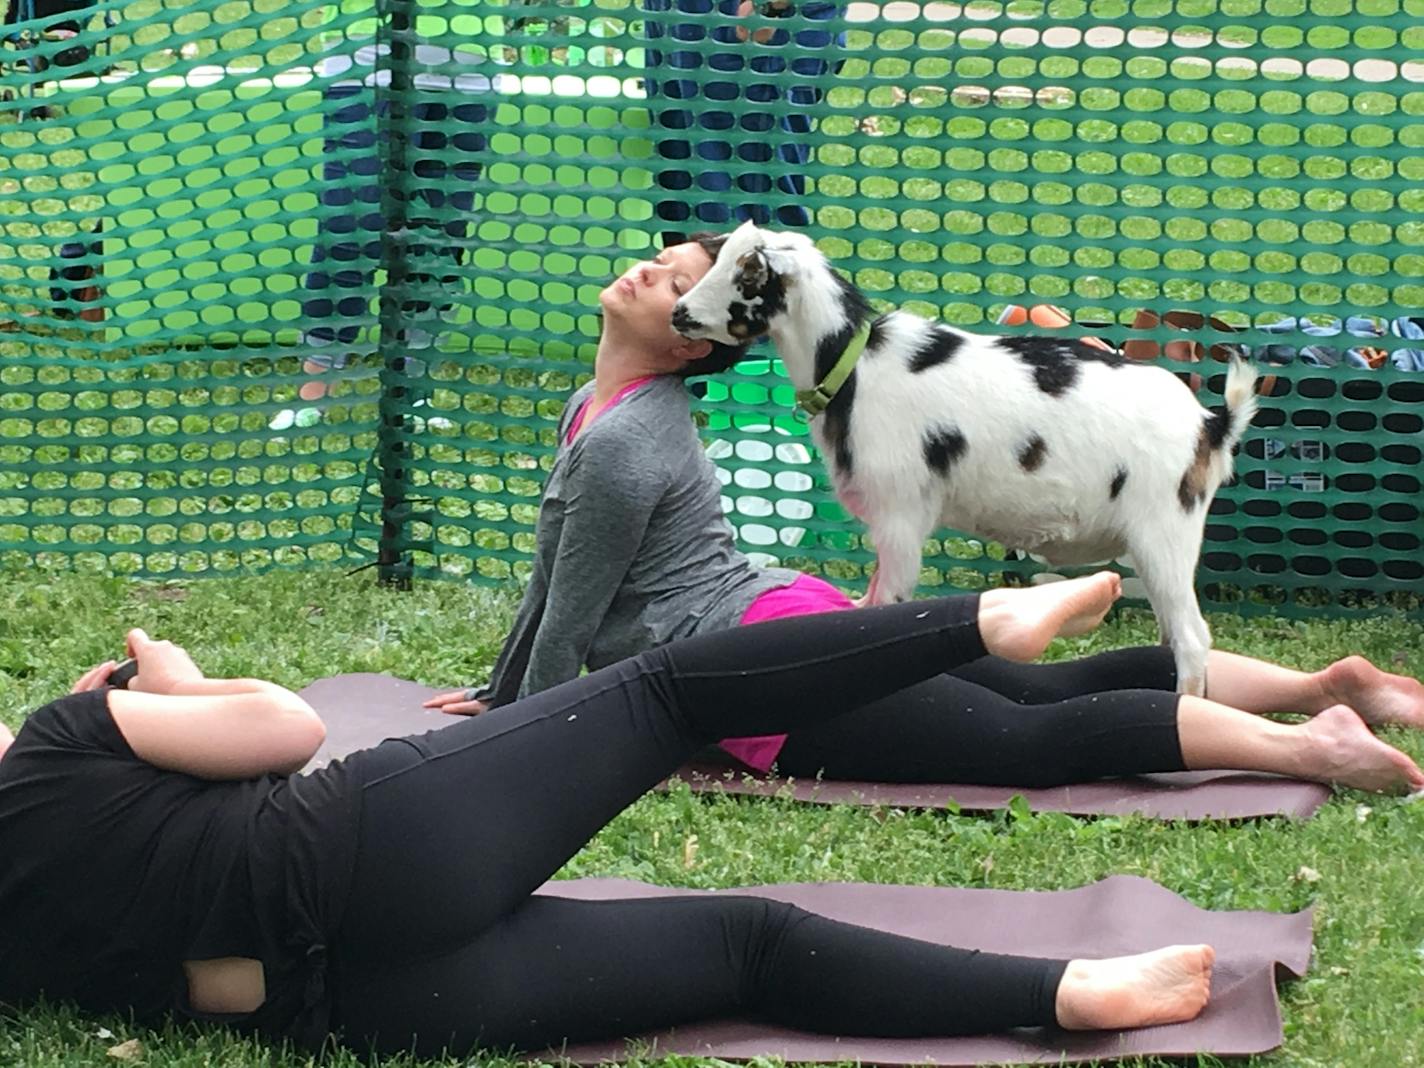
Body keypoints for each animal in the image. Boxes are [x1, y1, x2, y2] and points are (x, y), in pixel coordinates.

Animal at [672, 222, 1264, 697]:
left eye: (748, 275)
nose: (679, 314)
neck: (855, 365)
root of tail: (1212, 425)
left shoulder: (900, 516)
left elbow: (888, 603)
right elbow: (870, 602)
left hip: (1163, 530)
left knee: (1192, 638)